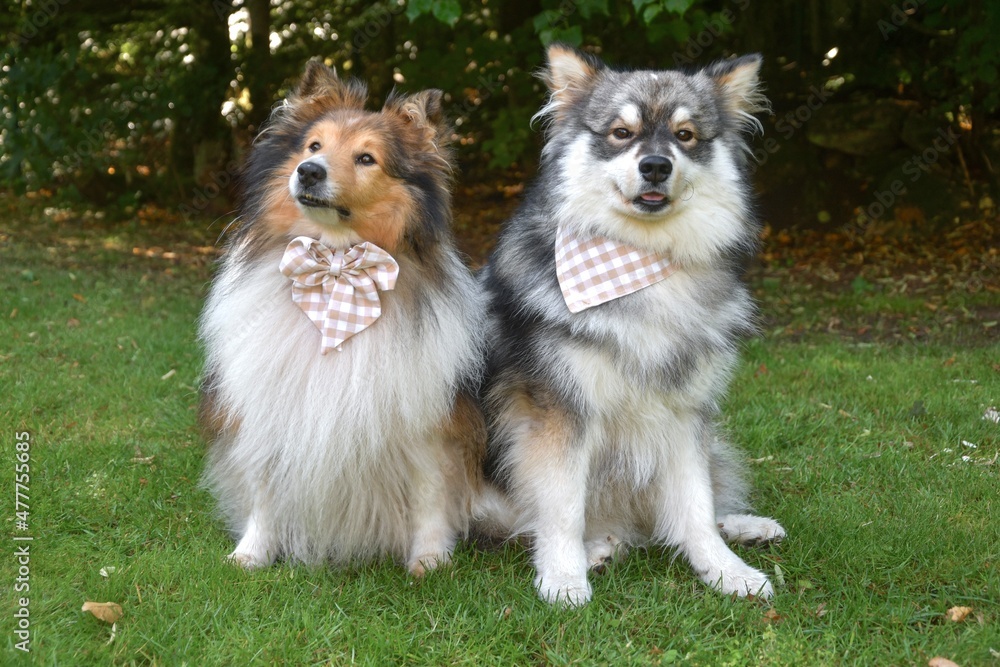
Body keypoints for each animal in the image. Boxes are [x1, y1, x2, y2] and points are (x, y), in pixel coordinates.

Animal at [197, 60, 486, 576]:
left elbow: (429, 494)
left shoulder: (426, 423)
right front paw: (252, 553)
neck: (335, 264)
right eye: (314, 146)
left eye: (367, 158)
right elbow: (265, 486)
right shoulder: (272, 406)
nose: (308, 172)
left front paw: (429, 559)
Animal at [480, 44, 784, 608]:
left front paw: (724, 569)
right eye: (622, 132)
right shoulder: (560, 415)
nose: (656, 166)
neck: (641, 260)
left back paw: (744, 525)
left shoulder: (684, 414)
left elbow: (696, 507)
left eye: (685, 135)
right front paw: (563, 575)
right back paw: (598, 547)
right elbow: (562, 508)